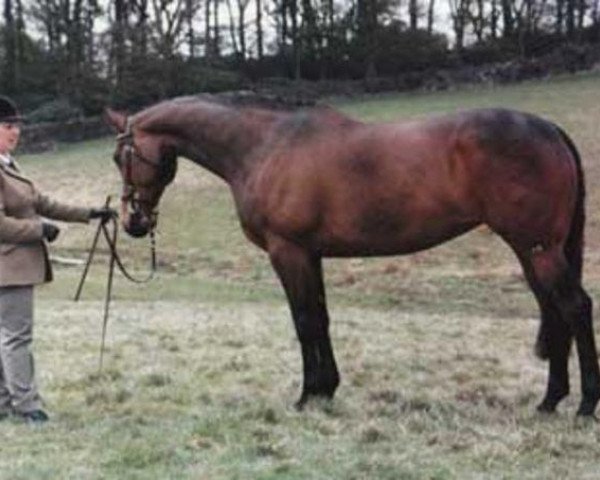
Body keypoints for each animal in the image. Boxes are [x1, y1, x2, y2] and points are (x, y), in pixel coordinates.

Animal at [105, 97, 600, 416]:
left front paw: (307, 397)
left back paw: (585, 406)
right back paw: (550, 401)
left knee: (575, 308)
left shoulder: (289, 251)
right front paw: (326, 390)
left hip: (538, 249)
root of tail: (549, 129)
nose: (133, 221)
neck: (263, 146)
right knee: (555, 312)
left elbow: (304, 321)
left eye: (119, 156)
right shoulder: (311, 255)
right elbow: (320, 319)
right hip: (532, 251)